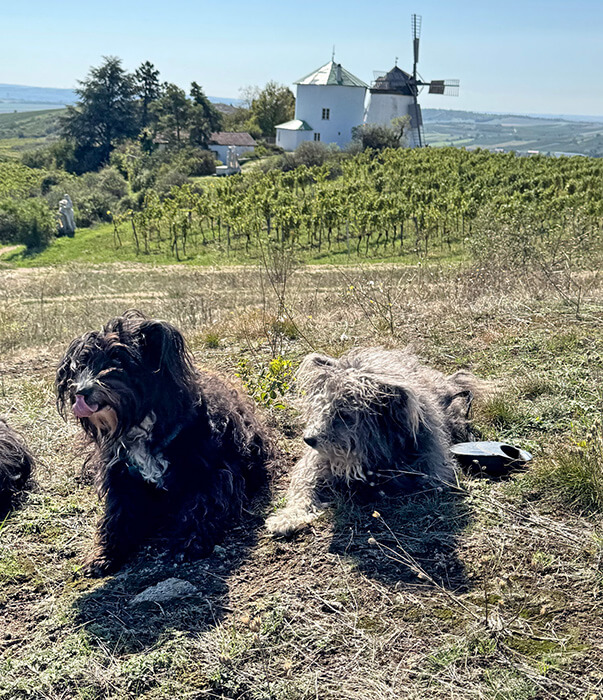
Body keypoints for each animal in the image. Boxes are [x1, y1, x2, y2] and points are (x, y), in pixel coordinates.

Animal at [56, 309, 275, 576]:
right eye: (83, 363)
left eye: (119, 359)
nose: (81, 391)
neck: (142, 425)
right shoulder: (121, 478)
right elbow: (117, 516)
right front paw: (104, 553)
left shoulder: (210, 472)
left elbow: (201, 506)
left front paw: (189, 541)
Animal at [266, 347, 480, 536]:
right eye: (321, 407)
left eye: (344, 414)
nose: (308, 439)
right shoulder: (314, 463)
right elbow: (302, 488)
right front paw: (289, 516)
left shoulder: (434, 468)